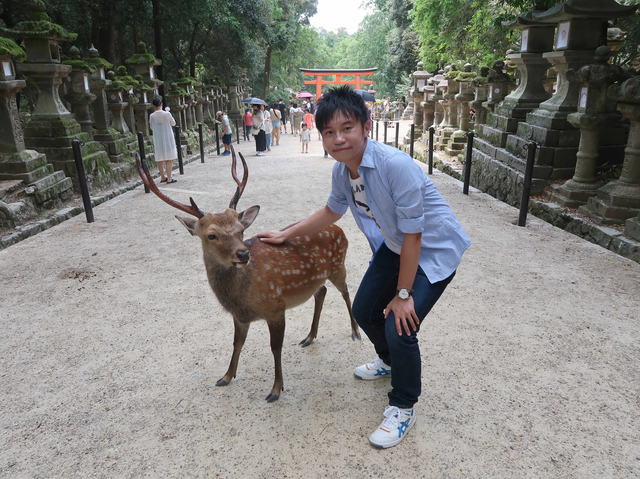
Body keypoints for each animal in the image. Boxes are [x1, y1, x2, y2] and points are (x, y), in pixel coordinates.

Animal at [136, 148, 360, 404]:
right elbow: (237, 343)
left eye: (241, 230)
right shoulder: (239, 316)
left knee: (345, 291)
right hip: (317, 278)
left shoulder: (276, 307)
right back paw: (310, 336)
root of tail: (339, 229)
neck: (243, 298)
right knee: (321, 292)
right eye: (211, 235)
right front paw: (226, 376)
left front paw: (275, 390)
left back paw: (355, 331)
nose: (243, 254)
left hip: (338, 265)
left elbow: (275, 347)